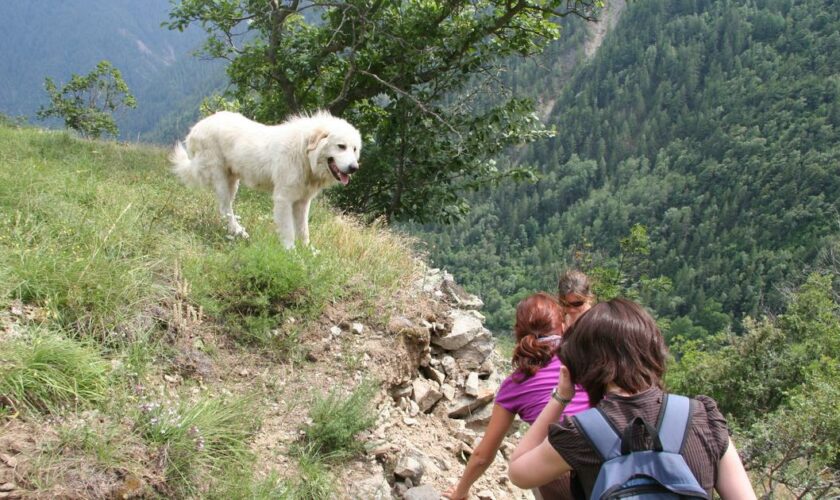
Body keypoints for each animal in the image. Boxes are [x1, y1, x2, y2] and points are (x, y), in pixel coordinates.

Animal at [171, 111, 360, 248]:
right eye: (341, 146)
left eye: (354, 149)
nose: (354, 168)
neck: (304, 153)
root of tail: (197, 127)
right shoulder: (283, 199)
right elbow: (288, 231)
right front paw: (292, 255)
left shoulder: (302, 202)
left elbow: (303, 231)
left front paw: (308, 253)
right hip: (221, 178)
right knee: (225, 208)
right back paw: (239, 232)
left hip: (233, 182)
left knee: (225, 209)